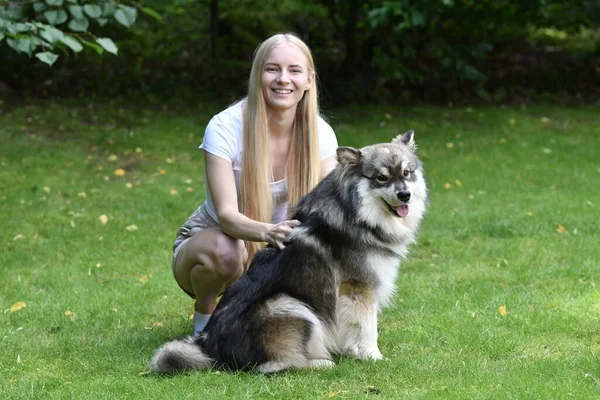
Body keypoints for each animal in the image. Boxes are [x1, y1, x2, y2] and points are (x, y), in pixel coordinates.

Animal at [152, 132, 428, 376]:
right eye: (381, 178)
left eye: (406, 173)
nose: (405, 195)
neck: (358, 214)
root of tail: (210, 347)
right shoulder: (360, 289)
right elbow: (369, 328)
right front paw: (373, 357)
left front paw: (354, 351)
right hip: (291, 306)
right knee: (275, 366)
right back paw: (322, 363)